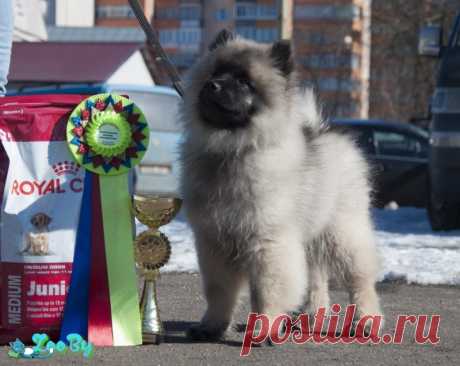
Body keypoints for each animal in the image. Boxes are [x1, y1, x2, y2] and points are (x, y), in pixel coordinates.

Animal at [179, 29, 380, 340]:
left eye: (244, 82)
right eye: (215, 73)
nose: (213, 85)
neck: (233, 150)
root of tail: (324, 132)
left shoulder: (268, 242)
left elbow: (269, 289)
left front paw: (266, 326)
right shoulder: (214, 243)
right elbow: (219, 291)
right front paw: (212, 326)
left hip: (343, 234)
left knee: (360, 281)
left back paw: (366, 320)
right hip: (310, 240)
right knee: (316, 281)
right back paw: (310, 319)